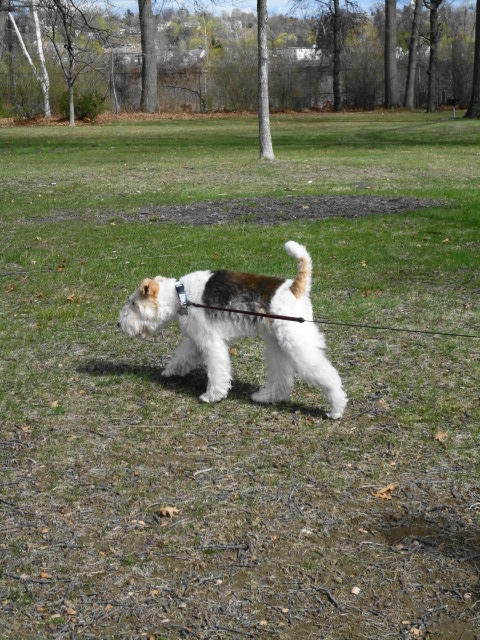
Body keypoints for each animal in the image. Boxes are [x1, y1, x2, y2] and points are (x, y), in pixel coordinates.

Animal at [118, 241, 346, 420]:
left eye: (133, 303)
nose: (119, 324)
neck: (180, 296)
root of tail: (295, 286)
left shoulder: (210, 341)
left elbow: (217, 371)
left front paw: (212, 395)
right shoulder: (196, 339)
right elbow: (181, 356)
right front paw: (170, 371)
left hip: (296, 341)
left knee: (328, 375)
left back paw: (336, 408)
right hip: (276, 343)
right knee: (281, 378)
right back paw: (265, 396)